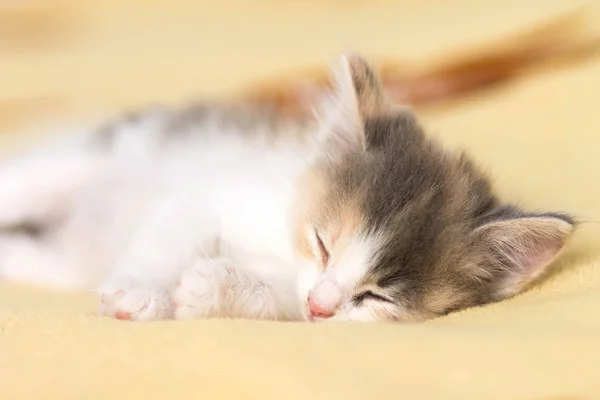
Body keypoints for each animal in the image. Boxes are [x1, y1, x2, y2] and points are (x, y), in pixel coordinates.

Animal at [0, 54, 576, 322]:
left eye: (375, 295)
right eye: (322, 242)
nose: (324, 304)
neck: (284, 250)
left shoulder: (297, 304)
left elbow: (279, 303)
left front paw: (211, 289)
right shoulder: (213, 197)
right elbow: (168, 238)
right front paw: (139, 289)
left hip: (58, 262)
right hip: (97, 153)